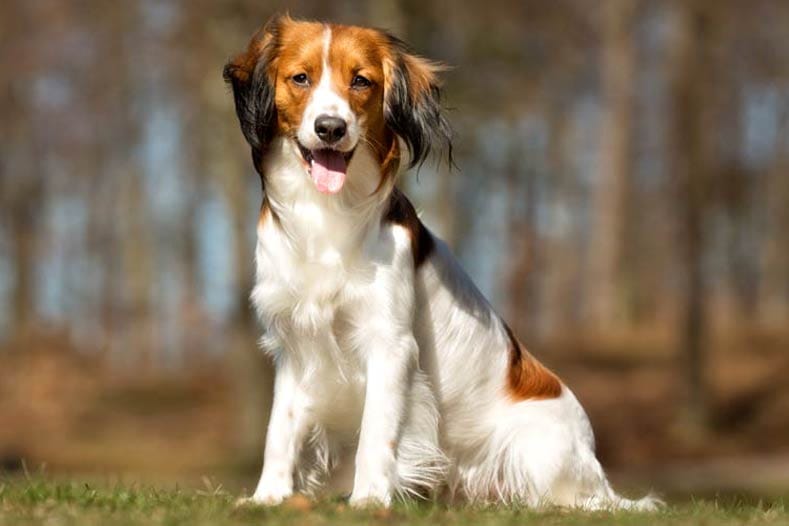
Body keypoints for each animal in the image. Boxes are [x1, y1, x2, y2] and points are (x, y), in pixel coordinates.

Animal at [223, 15, 660, 512]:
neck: (327, 213)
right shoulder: (294, 339)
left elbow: (377, 432)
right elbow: (281, 427)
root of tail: (597, 470)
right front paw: (268, 497)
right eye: (300, 78)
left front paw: (369, 500)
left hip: (538, 451)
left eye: (361, 81)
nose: (330, 127)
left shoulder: (390, 343)